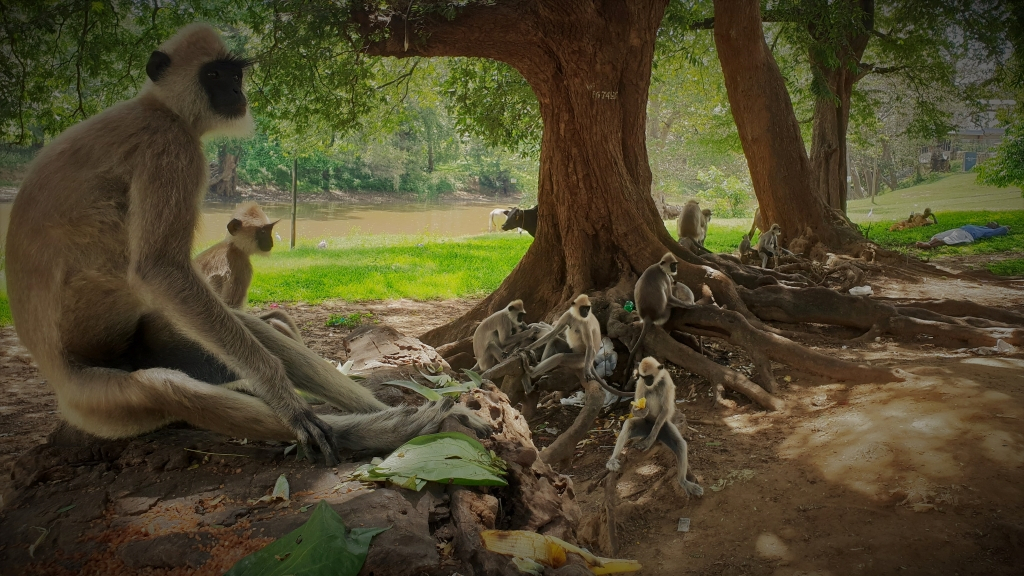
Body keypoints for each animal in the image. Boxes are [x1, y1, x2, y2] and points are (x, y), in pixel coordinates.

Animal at [4, 24, 489, 463]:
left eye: (235, 74)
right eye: (214, 74)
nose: (236, 90)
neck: (157, 106)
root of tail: (60, 386)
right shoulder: (170, 146)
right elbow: (160, 268)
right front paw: (286, 401)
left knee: (241, 330)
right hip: (96, 400)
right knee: (168, 388)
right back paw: (367, 430)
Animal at [606, 356, 704, 496]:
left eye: (649, 377)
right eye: (643, 377)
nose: (647, 382)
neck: (655, 382)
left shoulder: (666, 380)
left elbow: (666, 409)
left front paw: (648, 441)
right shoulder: (640, 383)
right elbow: (635, 405)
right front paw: (639, 410)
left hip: (664, 427)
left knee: (679, 444)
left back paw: (683, 482)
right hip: (644, 425)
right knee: (630, 423)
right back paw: (613, 459)